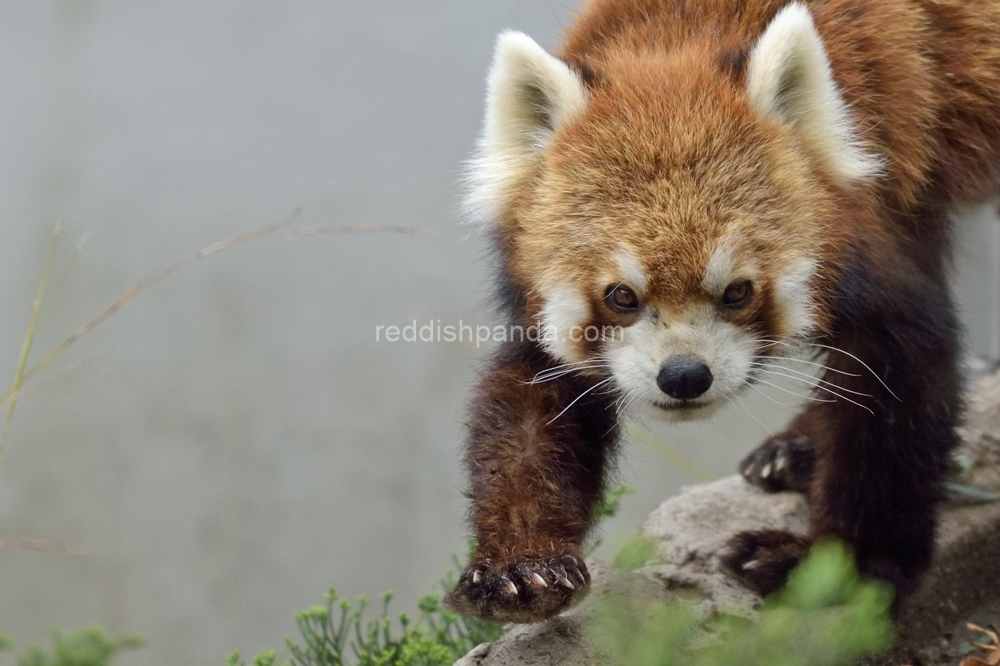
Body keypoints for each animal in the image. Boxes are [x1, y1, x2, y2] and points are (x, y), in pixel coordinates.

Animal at [448, 0, 1000, 624]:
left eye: (737, 292)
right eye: (621, 296)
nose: (685, 376)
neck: (678, 35)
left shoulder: (882, 209)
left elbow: (900, 380)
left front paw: (838, 565)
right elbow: (532, 406)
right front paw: (522, 566)